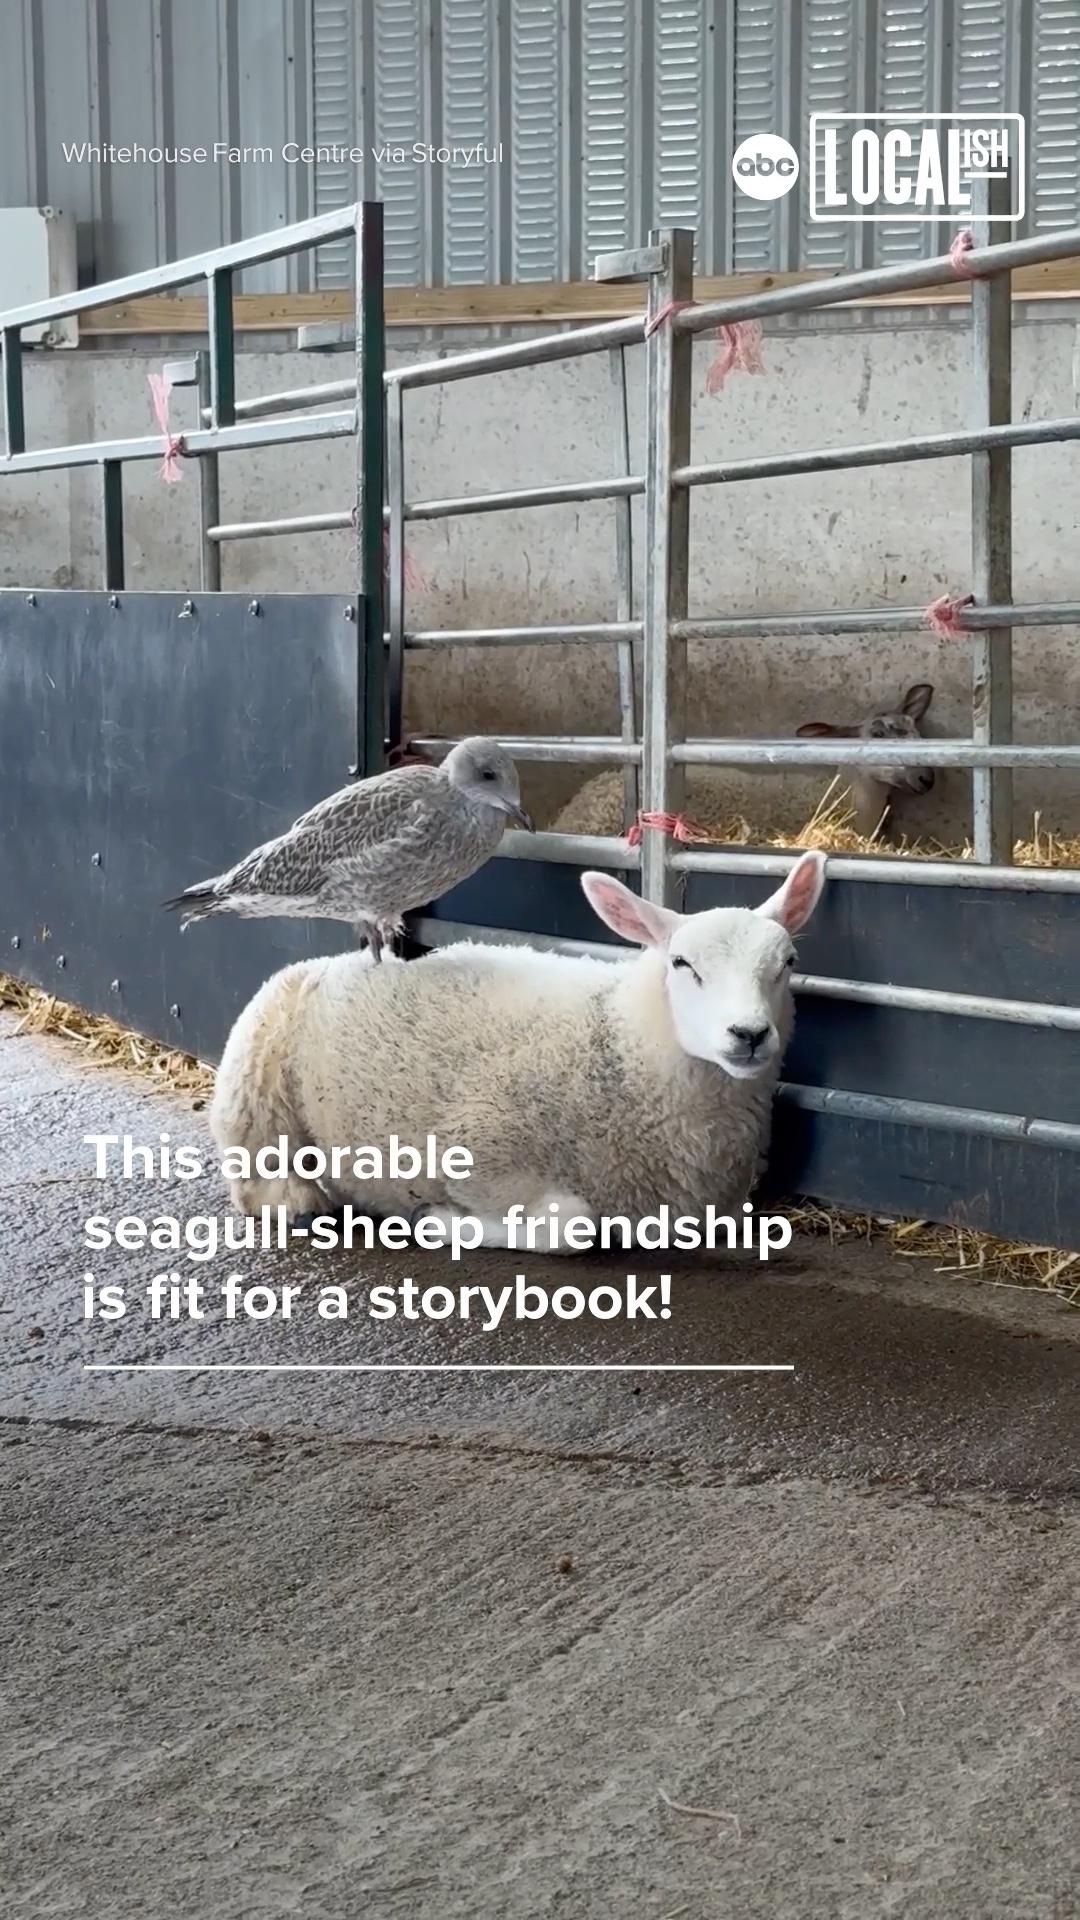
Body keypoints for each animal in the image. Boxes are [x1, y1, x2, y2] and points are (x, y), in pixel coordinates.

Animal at [209, 850, 827, 1254]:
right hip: (256, 1095)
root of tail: (328, 962)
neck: (620, 1043)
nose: (749, 1034)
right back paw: (302, 1200)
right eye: (683, 964)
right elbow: (573, 1227)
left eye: (788, 963)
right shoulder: (480, 1152)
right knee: (266, 1183)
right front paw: (438, 1221)